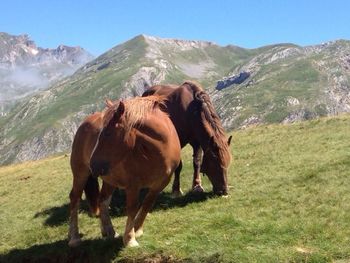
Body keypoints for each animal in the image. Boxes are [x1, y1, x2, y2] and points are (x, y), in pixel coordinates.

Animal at [69, 96, 182, 248]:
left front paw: (137, 229)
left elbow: (147, 204)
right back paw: (74, 238)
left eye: (107, 133)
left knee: (103, 200)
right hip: (80, 174)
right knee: (74, 198)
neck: (160, 151)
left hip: (109, 179)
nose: (93, 166)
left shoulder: (160, 183)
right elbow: (132, 207)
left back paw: (109, 231)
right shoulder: (132, 185)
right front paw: (130, 238)